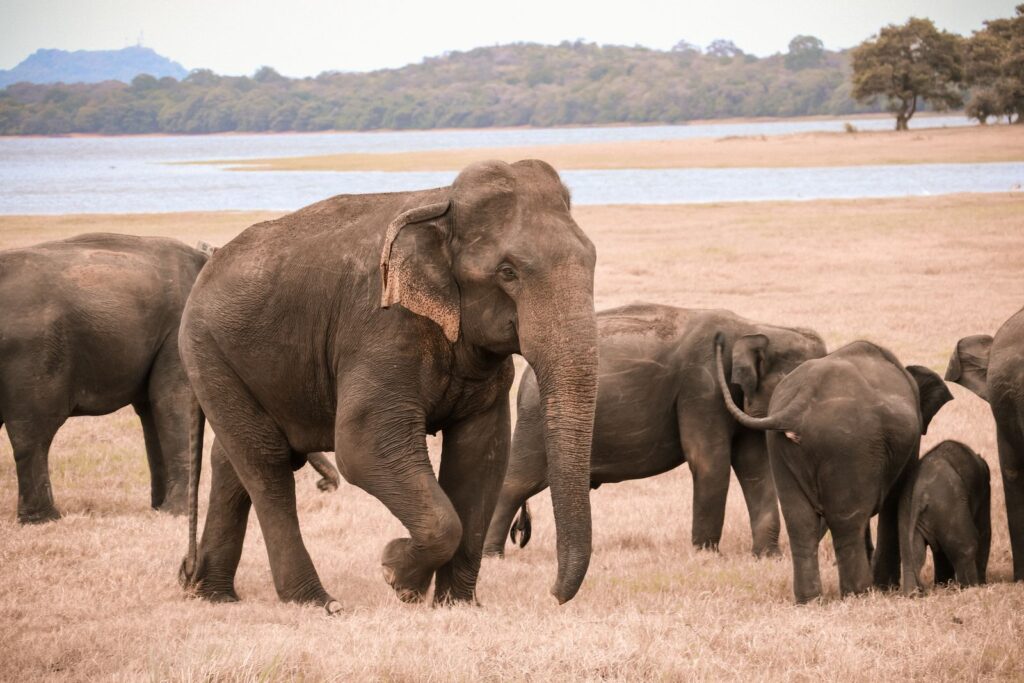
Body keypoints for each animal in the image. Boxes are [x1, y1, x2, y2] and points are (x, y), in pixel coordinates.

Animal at [177, 159, 600, 613]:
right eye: (508, 272)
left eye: (592, 260)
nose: (552, 595)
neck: (443, 204)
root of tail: (208, 263)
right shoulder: (381, 329)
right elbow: (363, 448)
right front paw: (397, 575)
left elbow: (482, 454)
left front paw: (456, 605)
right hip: (206, 350)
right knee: (265, 462)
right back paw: (318, 603)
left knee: (231, 461)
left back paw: (215, 595)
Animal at [484, 304, 826, 558]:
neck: (757, 327)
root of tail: (526, 377)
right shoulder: (701, 387)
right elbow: (709, 461)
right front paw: (706, 556)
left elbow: (755, 467)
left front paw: (768, 557)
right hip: (535, 422)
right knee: (516, 482)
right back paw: (491, 556)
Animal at [716, 338, 953, 602]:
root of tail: (802, 400)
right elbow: (895, 501)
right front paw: (886, 588)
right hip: (847, 445)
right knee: (847, 520)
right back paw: (859, 593)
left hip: (780, 446)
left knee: (799, 521)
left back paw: (810, 600)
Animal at [899, 440, 990, 594]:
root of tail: (921, 492)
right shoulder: (984, 493)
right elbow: (984, 531)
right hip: (948, 504)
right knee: (969, 545)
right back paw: (971, 588)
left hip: (907, 508)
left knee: (910, 555)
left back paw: (912, 594)